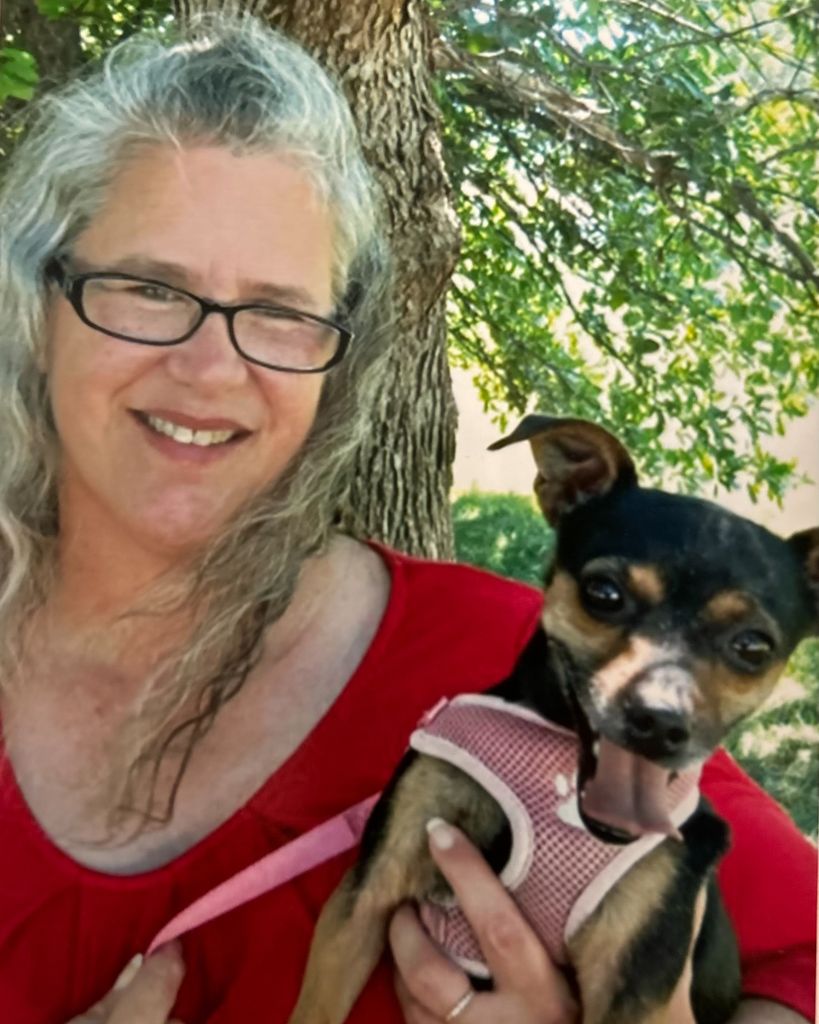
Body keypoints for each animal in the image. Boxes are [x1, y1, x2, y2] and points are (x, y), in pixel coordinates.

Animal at [287, 415, 819, 1024]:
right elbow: (316, 1005)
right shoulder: (364, 900)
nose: (660, 721)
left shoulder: (637, 992)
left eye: (753, 647)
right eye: (604, 593)